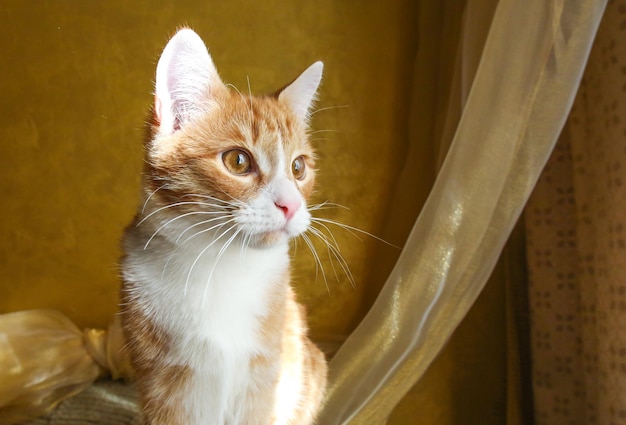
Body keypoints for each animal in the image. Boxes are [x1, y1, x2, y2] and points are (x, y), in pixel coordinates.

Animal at [119, 28, 330, 422]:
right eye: (238, 161)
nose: (291, 205)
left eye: (298, 168)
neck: (222, 266)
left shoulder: (263, 380)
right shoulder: (163, 386)